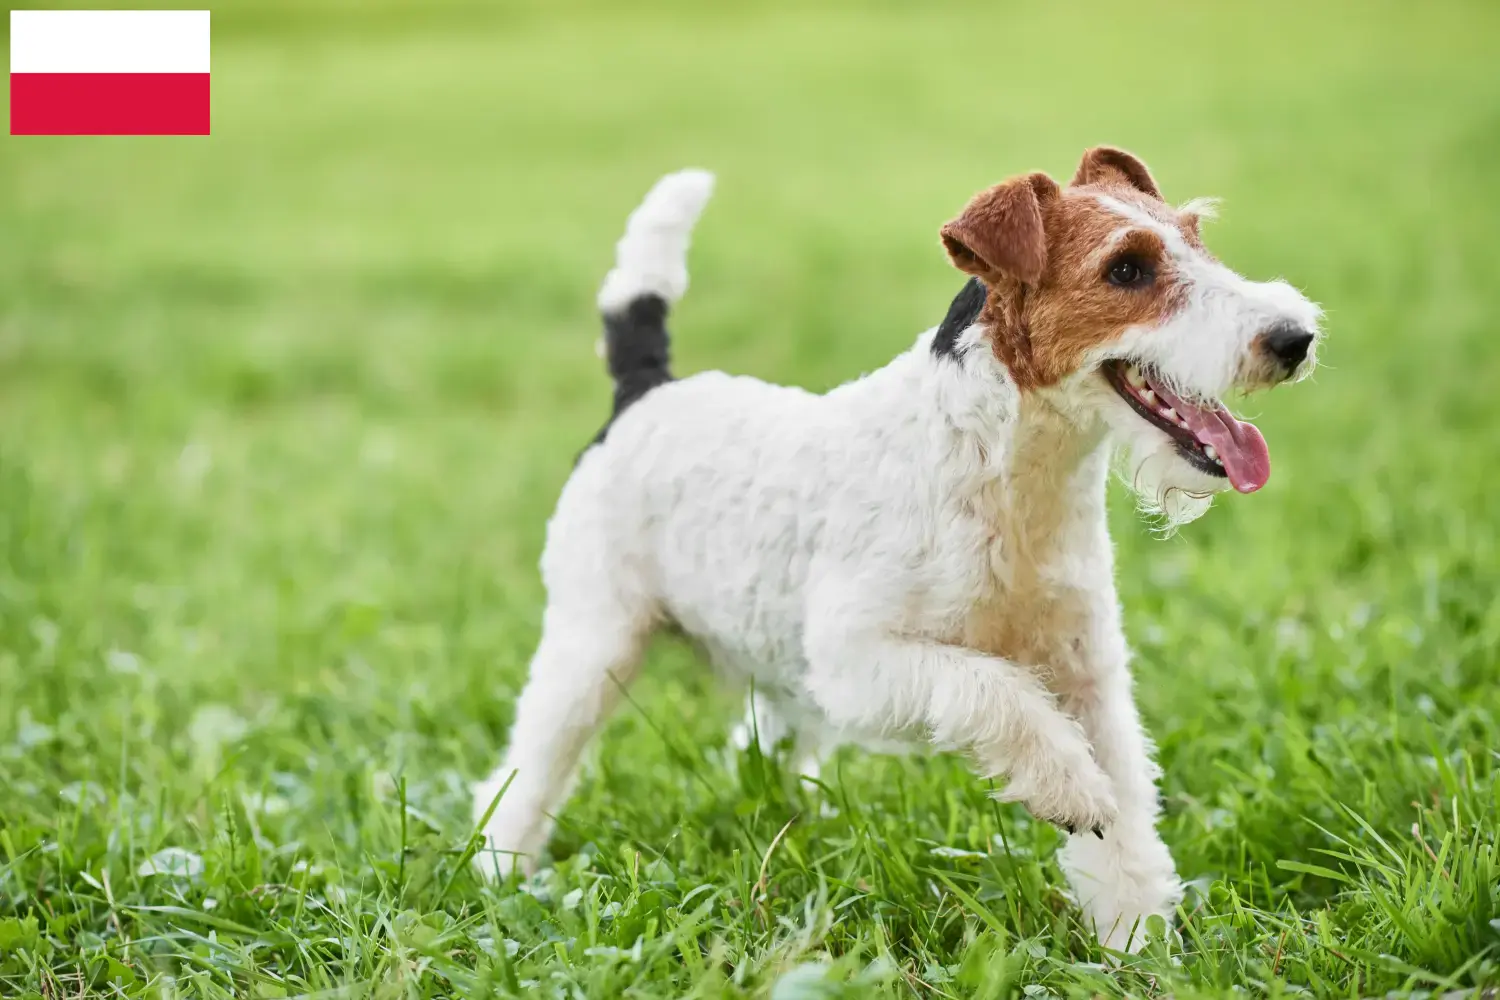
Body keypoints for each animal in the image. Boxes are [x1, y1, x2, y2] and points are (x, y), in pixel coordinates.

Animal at [474, 144, 1320, 953]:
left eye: (1196, 237)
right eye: (1126, 268)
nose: (1295, 337)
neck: (1007, 470)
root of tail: (643, 391)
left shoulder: (1089, 675)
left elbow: (1127, 832)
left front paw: (1138, 943)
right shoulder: (861, 661)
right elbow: (996, 692)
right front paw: (1069, 790)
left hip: (771, 664)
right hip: (595, 644)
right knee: (525, 772)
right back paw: (499, 869)